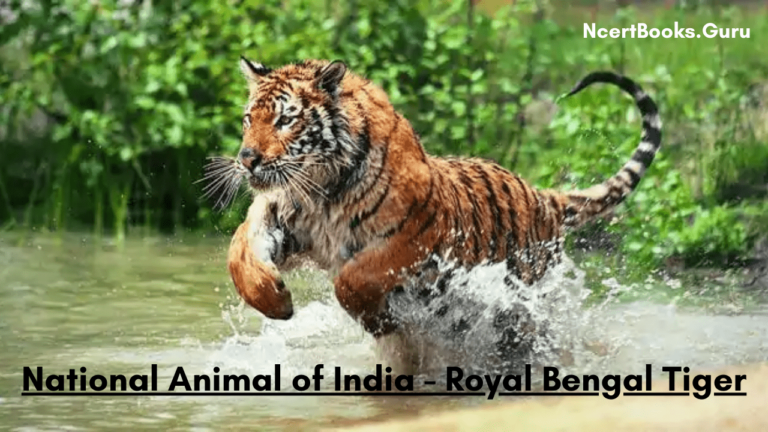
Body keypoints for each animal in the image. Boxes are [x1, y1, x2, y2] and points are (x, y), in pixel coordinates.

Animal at [214, 57, 661, 364]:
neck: (322, 188)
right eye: (249, 119)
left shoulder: (415, 235)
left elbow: (354, 279)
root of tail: (542, 197)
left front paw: (379, 320)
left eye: (285, 120)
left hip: (524, 312)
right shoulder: (280, 216)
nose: (247, 159)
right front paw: (276, 301)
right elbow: (238, 253)